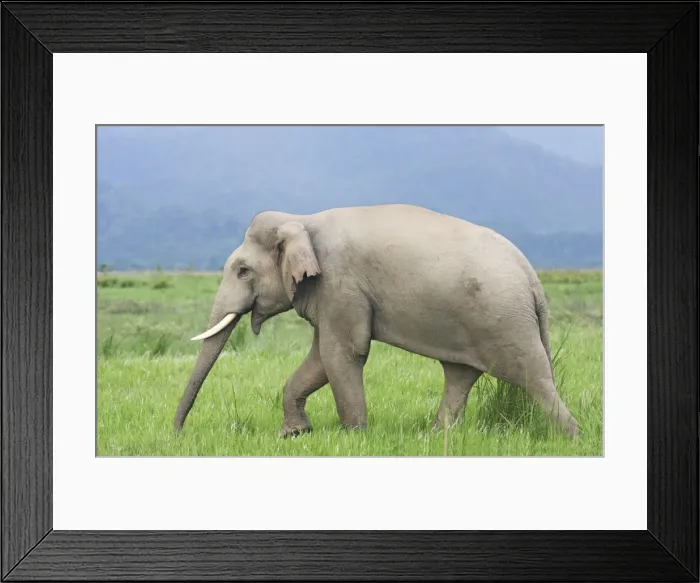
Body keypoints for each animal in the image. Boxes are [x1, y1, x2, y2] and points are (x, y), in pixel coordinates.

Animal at [174, 204, 579, 438]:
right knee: (460, 374)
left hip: (505, 320)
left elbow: (343, 353)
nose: (176, 434)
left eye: (242, 271)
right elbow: (321, 358)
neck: (302, 220)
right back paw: (434, 438)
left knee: (534, 378)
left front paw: (354, 437)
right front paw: (294, 435)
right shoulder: (328, 292)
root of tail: (533, 279)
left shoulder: (340, 283)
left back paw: (571, 437)